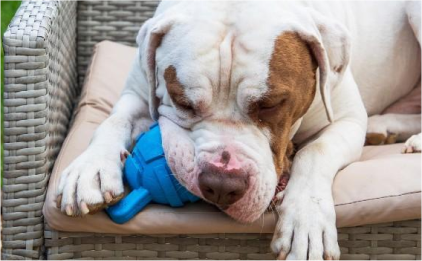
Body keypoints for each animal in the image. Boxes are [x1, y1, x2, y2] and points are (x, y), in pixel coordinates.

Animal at [56, 0, 422, 258]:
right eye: (182, 101)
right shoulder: (137, 91)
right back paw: (386, 127)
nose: (220, 184)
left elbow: (316, 152)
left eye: (272, 104)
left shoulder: (347, 118)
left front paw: (305, 220)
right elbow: (112, 121)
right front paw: (90, 169)